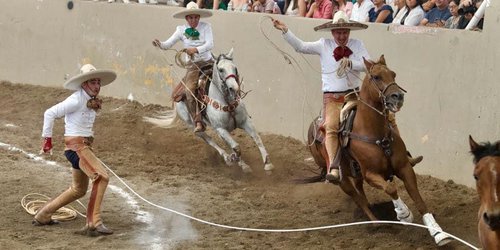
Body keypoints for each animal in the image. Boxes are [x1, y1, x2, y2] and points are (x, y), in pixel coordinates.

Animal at [306, 55, 452, 246]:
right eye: (376, 77)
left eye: (393, 74)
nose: (398, 97)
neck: (374, 132)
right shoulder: (371, 175)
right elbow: (390, 188)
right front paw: (403, 214)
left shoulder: (404, 168)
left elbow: (418, 199)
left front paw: (438, 233)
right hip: (341, 179)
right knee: (357, 197)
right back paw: (375, 222)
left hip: (356, 174)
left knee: (360, 192)